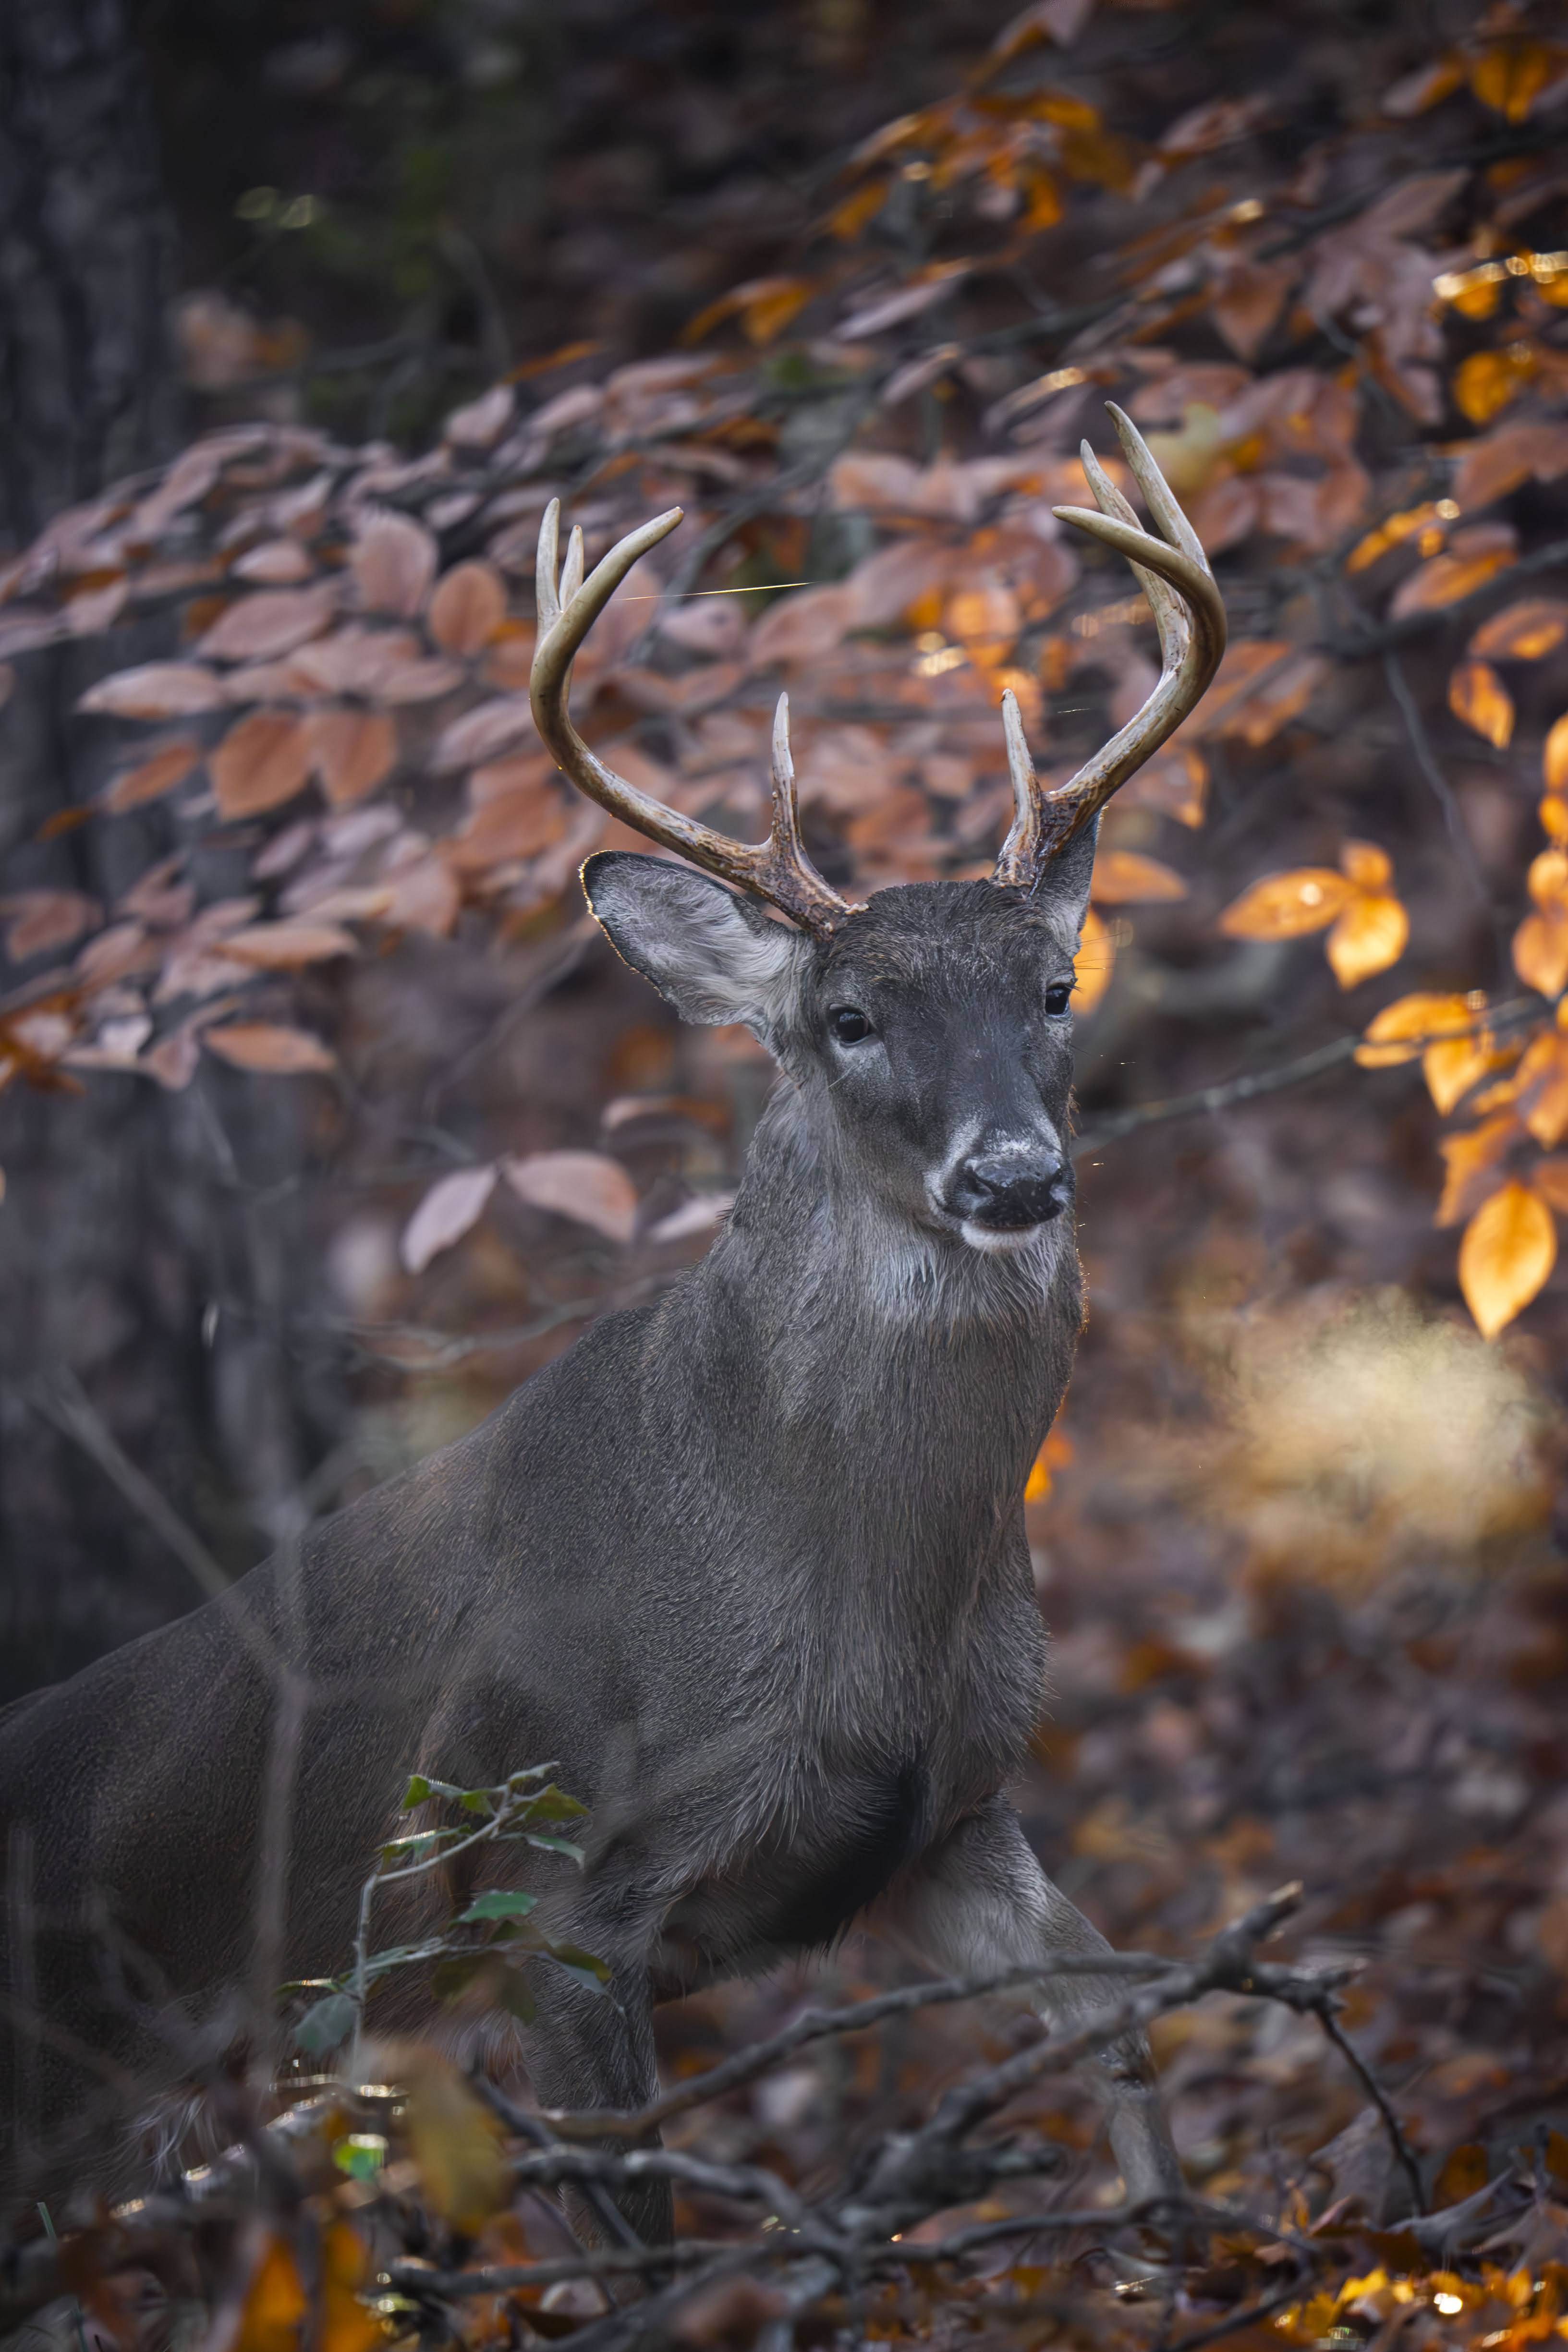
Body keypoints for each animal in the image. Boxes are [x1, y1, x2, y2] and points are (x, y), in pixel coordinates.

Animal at [0, 406, 1224, 2239]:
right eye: (847, 1015)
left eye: (1055, 988)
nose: (1011, 1171)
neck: (843, 1594)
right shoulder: (548, 1880)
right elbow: (635, 2226)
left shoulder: (950, 1812)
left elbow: (1118, 2015)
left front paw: (1182, 2253)